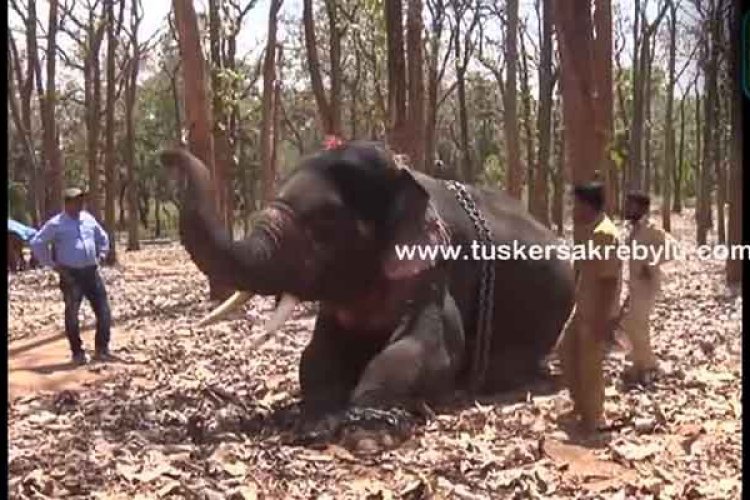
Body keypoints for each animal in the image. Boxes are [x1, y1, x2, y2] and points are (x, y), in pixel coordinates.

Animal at [161, 141, 575, 421]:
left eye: (324, 226)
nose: (167, 155)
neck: (402, 176)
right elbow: (316, 353)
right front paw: (322, 408)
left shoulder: (435, 269)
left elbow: (429, 349)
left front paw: (361, 411)